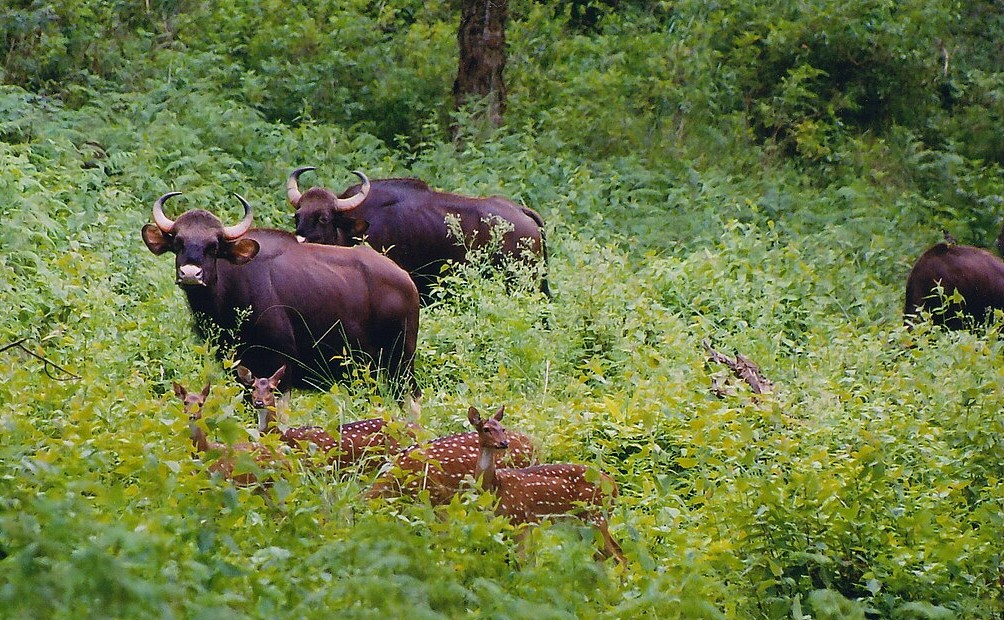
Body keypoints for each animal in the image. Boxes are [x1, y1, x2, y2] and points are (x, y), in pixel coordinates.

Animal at [467, 406, 626, 565]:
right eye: (486, 429)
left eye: (503, 428)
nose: (504, 443)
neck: (495, 486)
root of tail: (614, 486)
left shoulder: (518, 518)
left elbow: (521, 560)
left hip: (595, 516)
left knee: (618, 557)